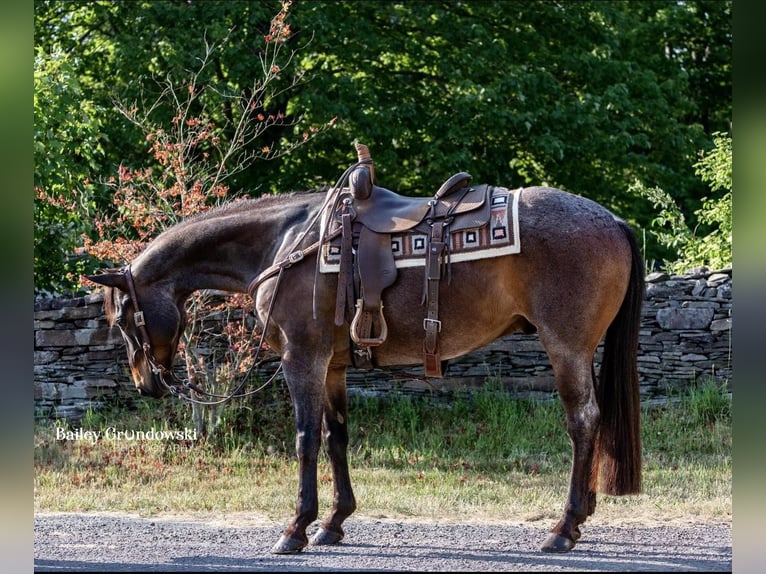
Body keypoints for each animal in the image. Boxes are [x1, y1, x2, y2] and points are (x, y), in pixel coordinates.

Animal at [85, 160, 648, 556]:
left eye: (123, 317)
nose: (147, 383)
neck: (285, 244)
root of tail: (613, 219)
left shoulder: (303, 358)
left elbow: (305, 439)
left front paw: (296, 528)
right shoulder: (333, 365)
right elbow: (336, 437)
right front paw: (334, 522)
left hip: (565, 347)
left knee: (582, 421)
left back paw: (563, 527)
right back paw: (582, 515)